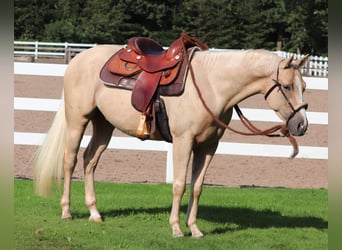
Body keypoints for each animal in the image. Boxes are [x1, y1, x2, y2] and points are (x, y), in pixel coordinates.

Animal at [34, 43, 310, 238]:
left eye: (304, 86)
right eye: (286, 86)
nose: (302, 125)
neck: (211, 86)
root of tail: (78, 58)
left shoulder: (208, 147)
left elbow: (197, 187)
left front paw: (195, 229)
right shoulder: (182, 142)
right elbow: (179, 185)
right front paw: (176, 228)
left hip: (104, 125)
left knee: (90, 160)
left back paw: (94, 213)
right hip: (77, 121)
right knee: (69, 160)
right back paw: (67, 211)